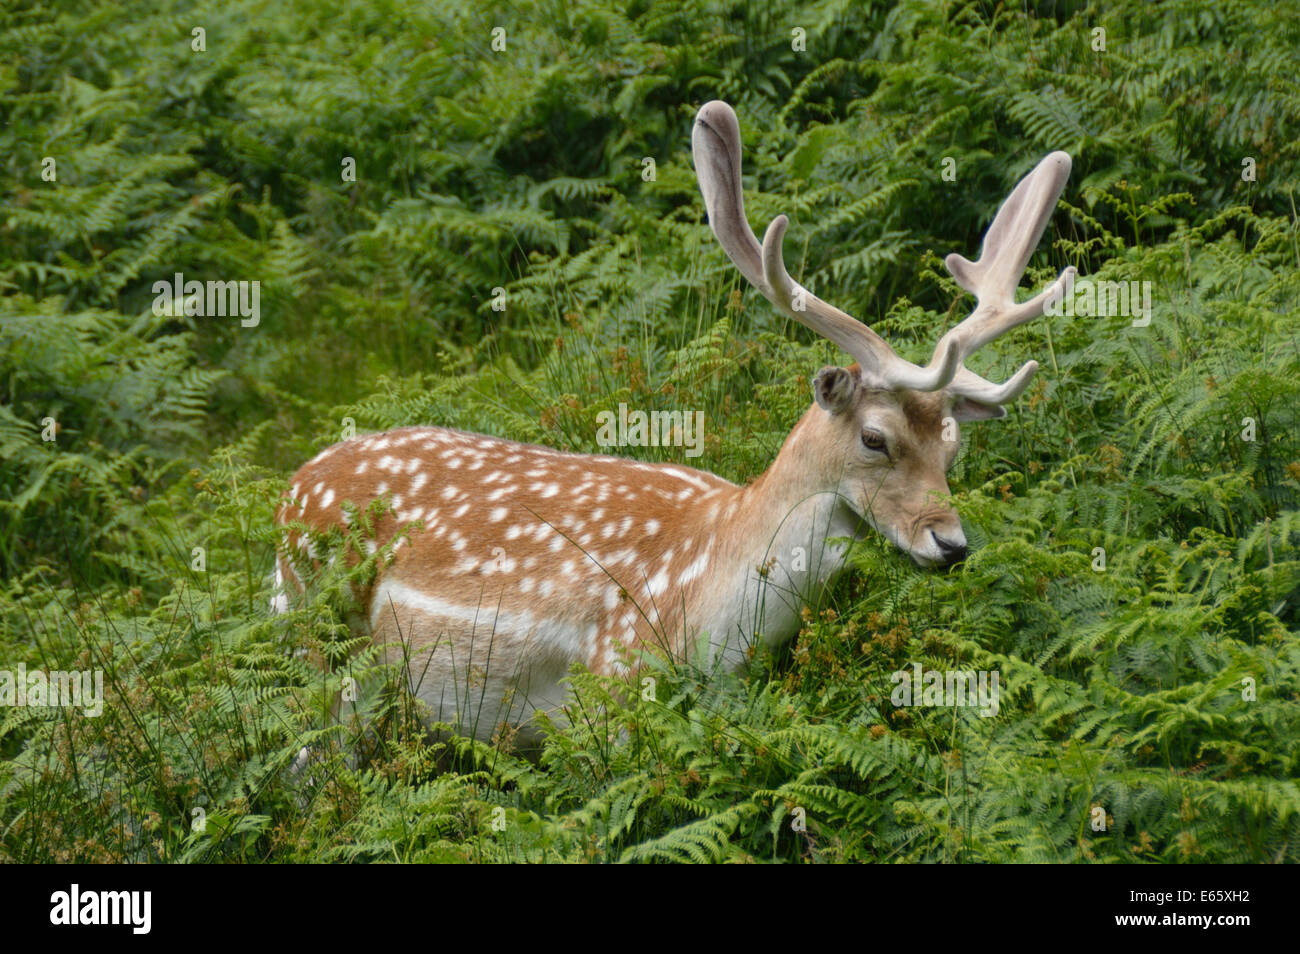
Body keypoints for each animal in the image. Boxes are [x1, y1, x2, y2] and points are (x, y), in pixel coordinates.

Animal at [274, 102, 1076, 748]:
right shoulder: (613, 687)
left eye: (952, 445)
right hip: (311, 640)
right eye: (875, 438)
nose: (952, 543)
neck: (707, 614)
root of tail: (288, 489)